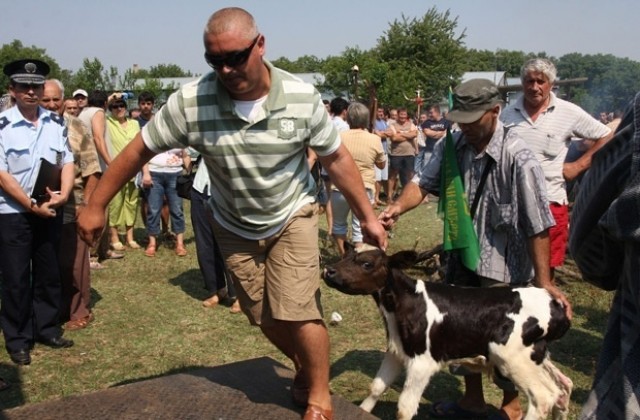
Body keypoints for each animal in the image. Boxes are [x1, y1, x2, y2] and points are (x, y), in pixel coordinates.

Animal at [324, 246, 568, 420]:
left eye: (366, 263)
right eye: (346, 254)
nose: (329, 271)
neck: (405, 303)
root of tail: (554, 304)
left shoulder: (423, 362)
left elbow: (404, 408)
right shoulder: (397, 350)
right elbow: (376, 387)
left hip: (512, 359)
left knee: (543, 398)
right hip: (534, 357)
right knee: (561, 389)